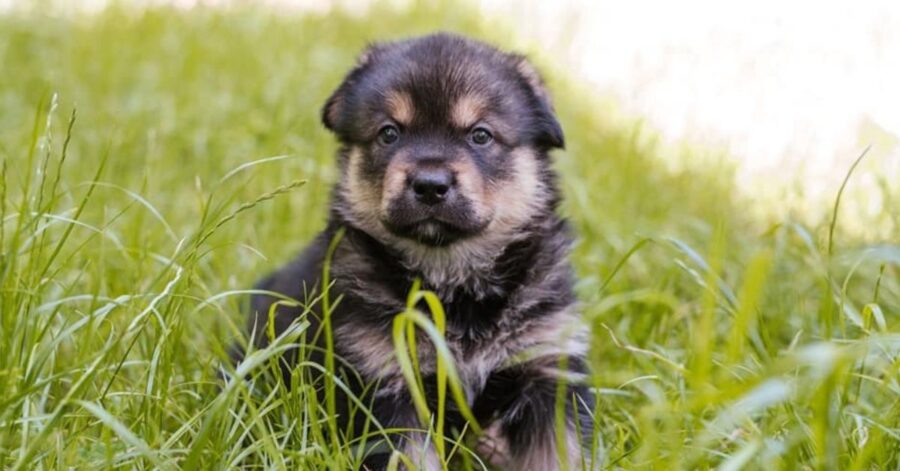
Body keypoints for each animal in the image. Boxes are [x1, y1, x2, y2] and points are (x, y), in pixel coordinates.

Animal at [236, 34, 596, 471]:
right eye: (389, 133)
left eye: (481, 135)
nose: (430, 184)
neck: (454, 283)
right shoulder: (386, 376)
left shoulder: (548, 365)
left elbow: (557, 453)